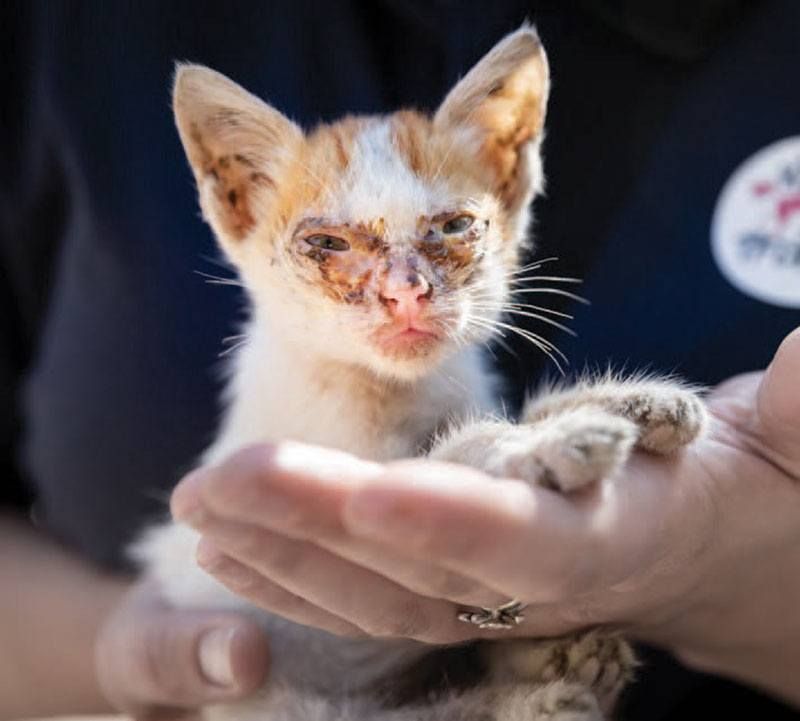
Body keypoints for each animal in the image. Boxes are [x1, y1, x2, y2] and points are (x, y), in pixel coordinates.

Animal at [138, 25, 708, 720]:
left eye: (456, 227)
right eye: (328, 244)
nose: (406, 293)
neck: (394, 392)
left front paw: (629, 404)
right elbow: (458, 451)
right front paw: (545, 445)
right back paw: (542, 695)